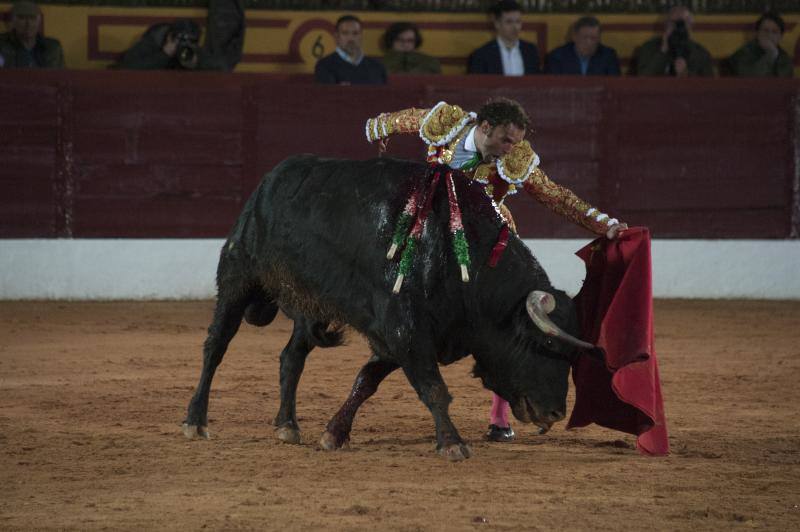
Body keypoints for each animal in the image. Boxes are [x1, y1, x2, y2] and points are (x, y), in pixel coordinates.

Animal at [183, 152, 592, 460]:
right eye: (546, 344)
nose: (555, 412)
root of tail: (270, 179)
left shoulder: (400, 337)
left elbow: (366, 381)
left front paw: (334, 433)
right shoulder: (404, 329)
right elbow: (434, 389)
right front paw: (453, 443)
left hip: (310, 307)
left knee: (291, 358)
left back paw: (287, 425)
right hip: (237, 277)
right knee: (215, 346)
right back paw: (195, 421)